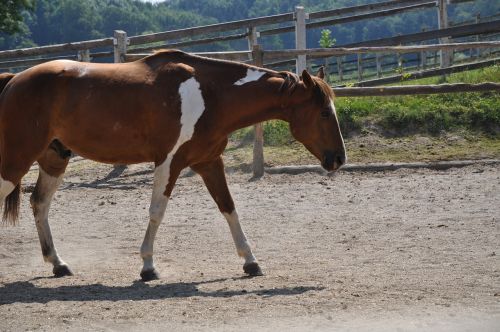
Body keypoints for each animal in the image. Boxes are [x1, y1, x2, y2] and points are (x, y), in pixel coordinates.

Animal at [0, 50, 346, 282]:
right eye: (324, 112)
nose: (339, 159)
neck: (210, 94)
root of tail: (14, 80)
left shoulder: (208, 162)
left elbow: (228, 207)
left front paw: (251, 261)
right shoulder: (169, 162)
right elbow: (157, 212)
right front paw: (148, 267)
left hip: (54, 160)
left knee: (39, 204)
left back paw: (58, 264)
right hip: (15, 161)